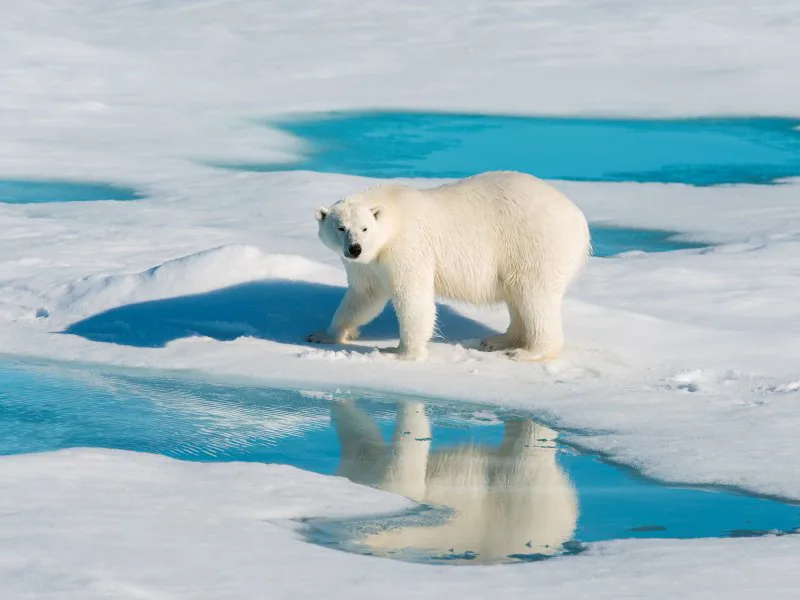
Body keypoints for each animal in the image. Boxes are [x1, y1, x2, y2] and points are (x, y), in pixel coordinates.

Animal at [307, 171, 590, 361]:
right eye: (341, 227)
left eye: (365, 228)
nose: (355, 248)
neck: (393, 211)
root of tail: (580, 219)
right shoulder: (369, 264)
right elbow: (363, 296)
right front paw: (324, 334)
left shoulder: (406, 246)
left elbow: (413, 297)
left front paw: (401, 352)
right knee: (517, 297)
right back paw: (497, 340)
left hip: (536, 243)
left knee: (534, 295)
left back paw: (528, 352)